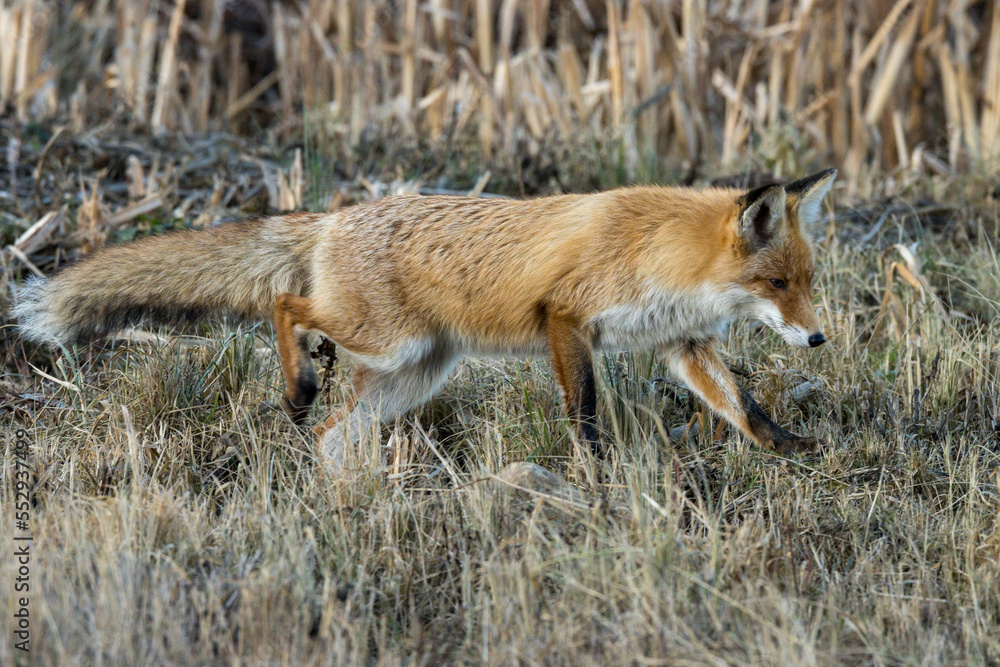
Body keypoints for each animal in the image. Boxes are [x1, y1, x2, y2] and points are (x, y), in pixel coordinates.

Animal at [13, 168, 836, 466]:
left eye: (807, 282)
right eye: (777, 282)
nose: (818, 337)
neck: (659, 251)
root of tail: (333, 218)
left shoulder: (681, 340)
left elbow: (744, 406)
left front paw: (792, 447)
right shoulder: (564, 316)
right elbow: (584, 407)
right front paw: (597, 467)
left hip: (412, 372)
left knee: (335, 432)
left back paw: (348, 490)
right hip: (390, 341)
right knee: (286, 304)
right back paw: (298, 385)